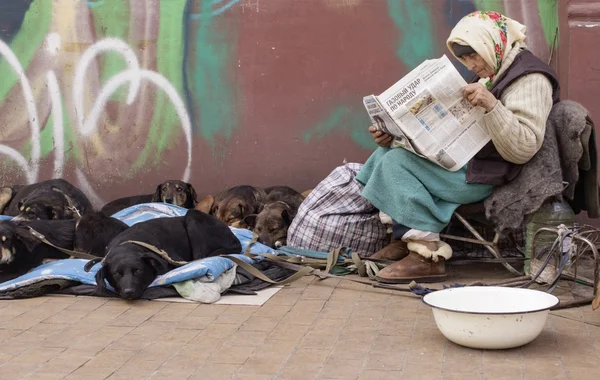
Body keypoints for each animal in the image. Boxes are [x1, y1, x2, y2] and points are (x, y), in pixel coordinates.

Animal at [87, 209, 241, 302]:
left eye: (138, 271)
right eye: (117, 274)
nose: (129, 292)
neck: (128, 243)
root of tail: (235, 239)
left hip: (193, 217)